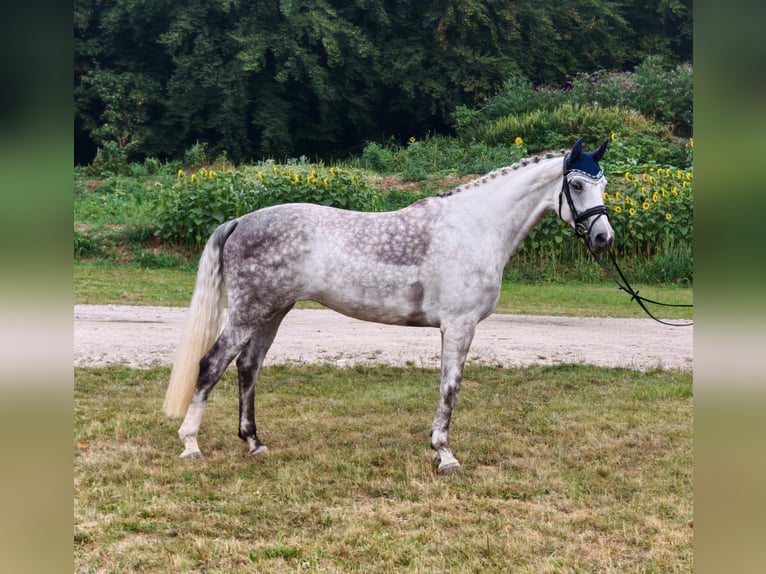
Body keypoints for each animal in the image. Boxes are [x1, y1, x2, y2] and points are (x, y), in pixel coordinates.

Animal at [163, 137, 614, 474]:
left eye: (604, 184)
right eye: (576, 186)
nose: (603, 238)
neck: (475, 226)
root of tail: (241, 220)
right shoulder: (459, 325)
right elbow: (450, 387)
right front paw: (444, 454)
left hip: (272, 312)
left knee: (247, 367)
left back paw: (254, 442)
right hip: (247, 313)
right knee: (212, 364)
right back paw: (191, 445)